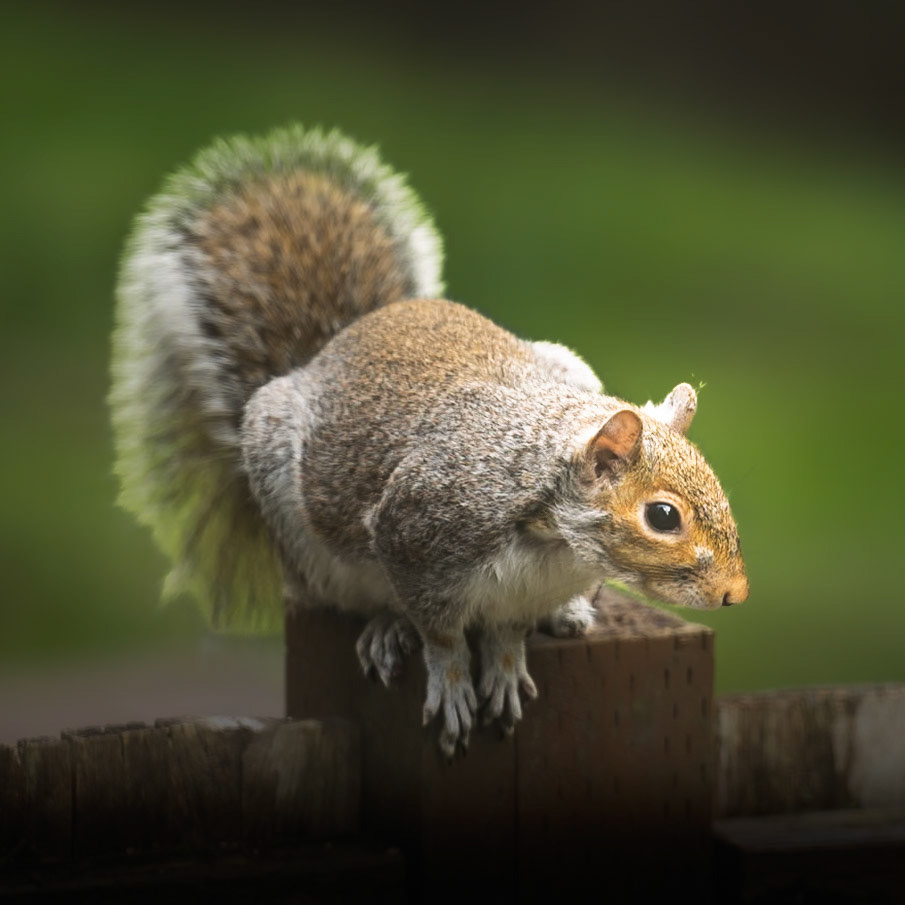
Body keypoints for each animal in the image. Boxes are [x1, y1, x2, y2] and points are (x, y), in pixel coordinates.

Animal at [110, 124, 749, 758]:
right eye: (662, 516)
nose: (735, 595)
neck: (554, 545)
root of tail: (329, 349)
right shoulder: (412, 530)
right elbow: (441, 633)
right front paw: (451, 681)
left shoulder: (519, 594)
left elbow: (506, 632)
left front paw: (506, 667)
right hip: (301, 538)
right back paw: (387, 628)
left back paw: (566, 612)